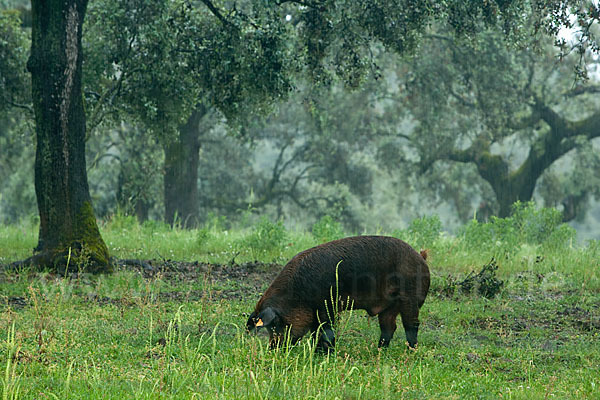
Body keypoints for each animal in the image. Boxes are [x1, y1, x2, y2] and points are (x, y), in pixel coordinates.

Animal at [246, 236, 428, 352]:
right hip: (389, 306)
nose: (272, 349)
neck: (298, 295)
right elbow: (316, 333)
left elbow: (327, 331)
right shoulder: (315, 314)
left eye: (276, 324)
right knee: (389, 327)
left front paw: (325, 354)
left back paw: (411, 352)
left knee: (411, 325)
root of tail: (421, 258)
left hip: (409, 298)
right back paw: (380, 351)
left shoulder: (327, 306)